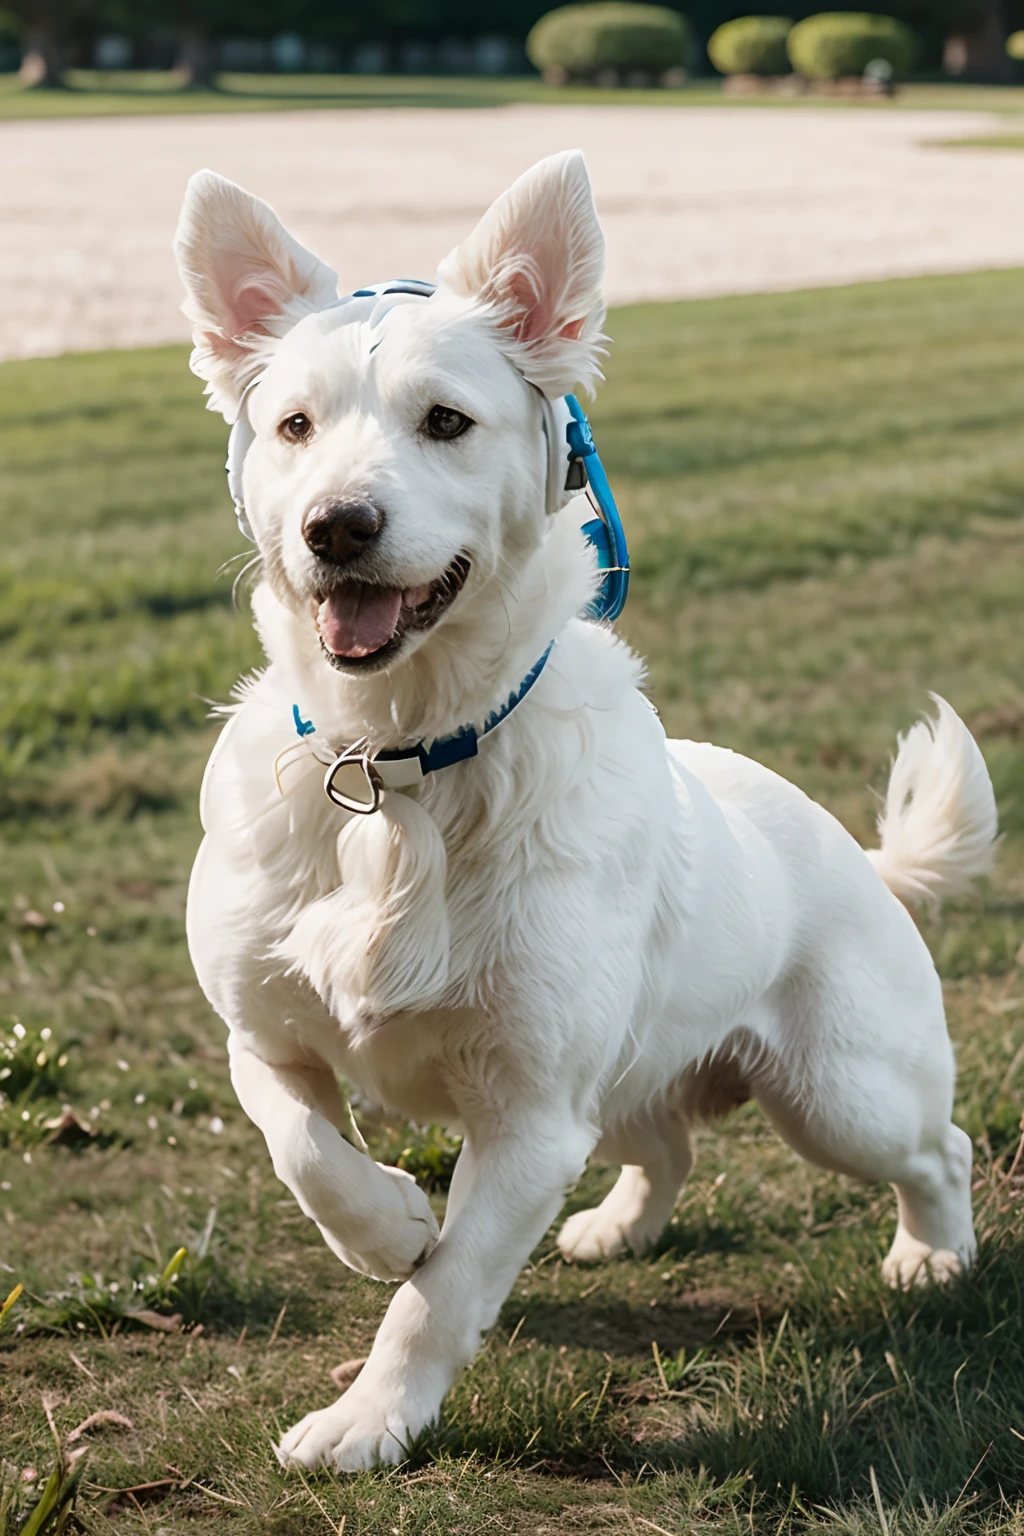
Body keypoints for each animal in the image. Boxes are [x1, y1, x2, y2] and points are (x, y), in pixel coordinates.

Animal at [176, 149, 1000, 1468]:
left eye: (446, 422)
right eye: (293, 426)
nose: (335, 527)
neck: (400, 764)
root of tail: (860, 857)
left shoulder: (527, 1118)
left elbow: (442, 1295)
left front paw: (368, 1423)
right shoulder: (267, 1039)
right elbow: (305, 1151)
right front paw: (387, 1224)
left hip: (839, 1095)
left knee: (939, 1147)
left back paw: (934, 1257)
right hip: (623, 1087)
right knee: (665, 1142)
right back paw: (619, 1229)